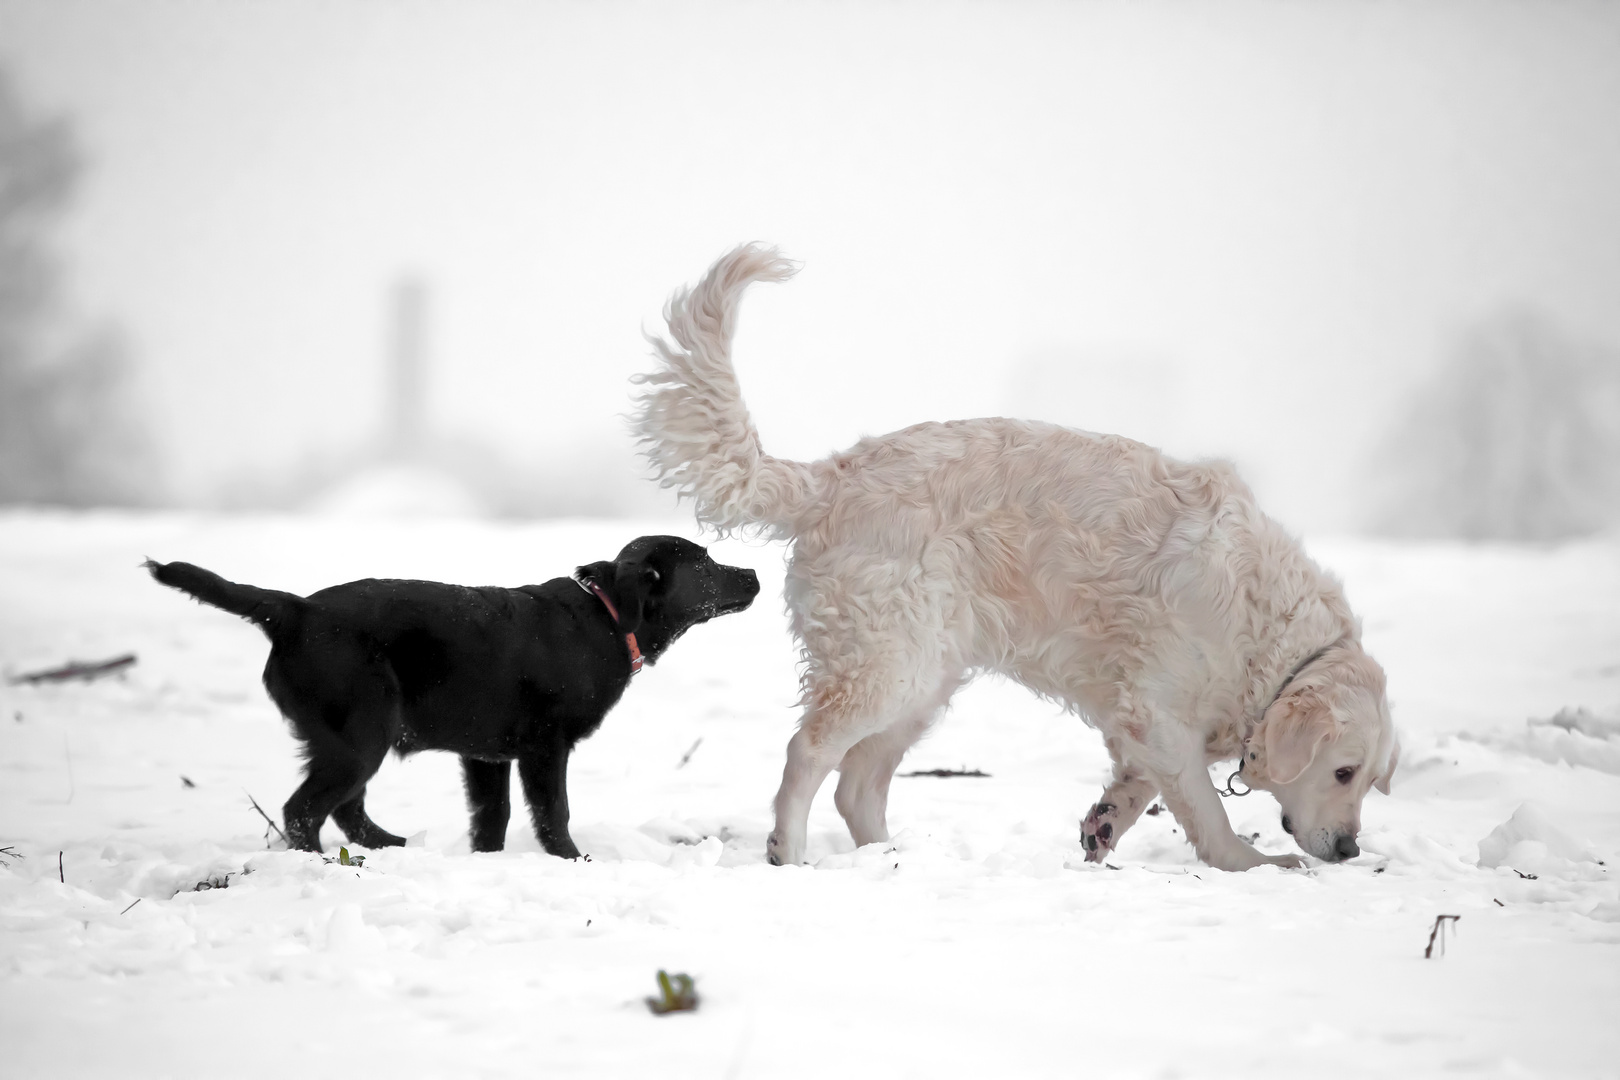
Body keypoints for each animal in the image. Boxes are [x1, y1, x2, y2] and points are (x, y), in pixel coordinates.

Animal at [149, 537, 754, 854]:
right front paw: (572, 859)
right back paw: (323, 864)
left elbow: (492, 815)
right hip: (361, 733)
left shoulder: (486, 754)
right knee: (306, 810)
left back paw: (391, 846)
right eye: (704, 562)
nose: (752, 572)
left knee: (345, 808)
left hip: (352, 738)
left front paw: (488, 859)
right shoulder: (545, 746)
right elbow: (553, 811)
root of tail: (296, 609)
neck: (604, 619)